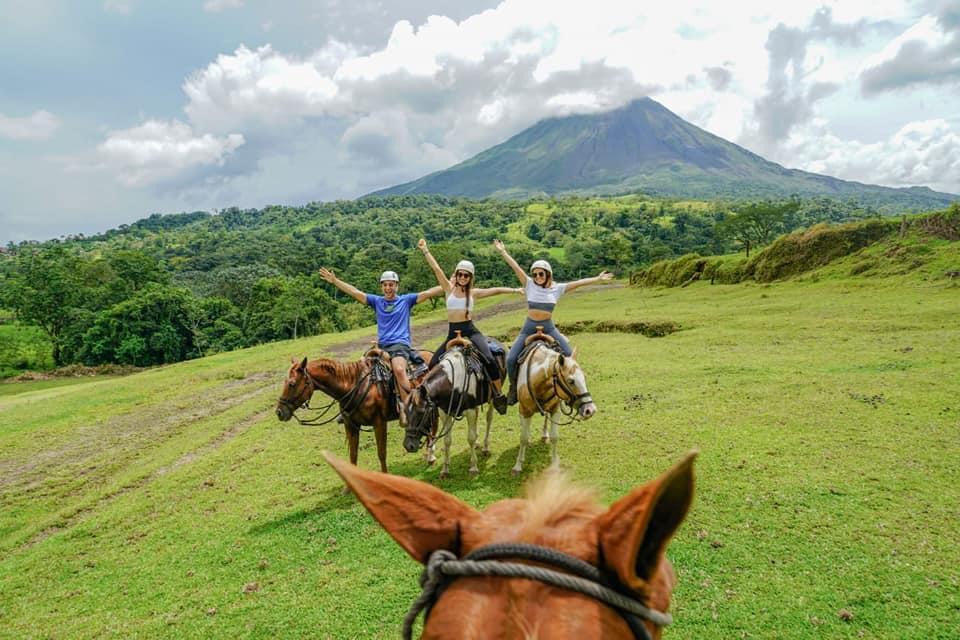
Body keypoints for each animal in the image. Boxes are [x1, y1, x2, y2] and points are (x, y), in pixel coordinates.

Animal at [276, 350, 430, 476]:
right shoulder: (351, 425)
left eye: (292, 384)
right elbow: (353, 454)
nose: (279, 412)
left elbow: (381, 453)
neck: (354, 386)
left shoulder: (379, 423)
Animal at [404, 338, 506, 478]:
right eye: (405, 412)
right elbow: (447, 440)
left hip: (491, 399)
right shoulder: (444, 412)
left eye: (421, 412)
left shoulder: (470, 410)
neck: (453, 381)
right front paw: (445, 469)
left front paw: (473, 467)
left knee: (489, 418)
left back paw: (485, 447)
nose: (408, 445)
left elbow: (470, 438)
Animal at [512, 332, 596, 478]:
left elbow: (555, 437)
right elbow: (523, 438)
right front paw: (518, 465)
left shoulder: (555, 410)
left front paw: (555, 464)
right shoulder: (524, 410)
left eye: (584, 377)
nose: (590, 410)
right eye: (571, 381)